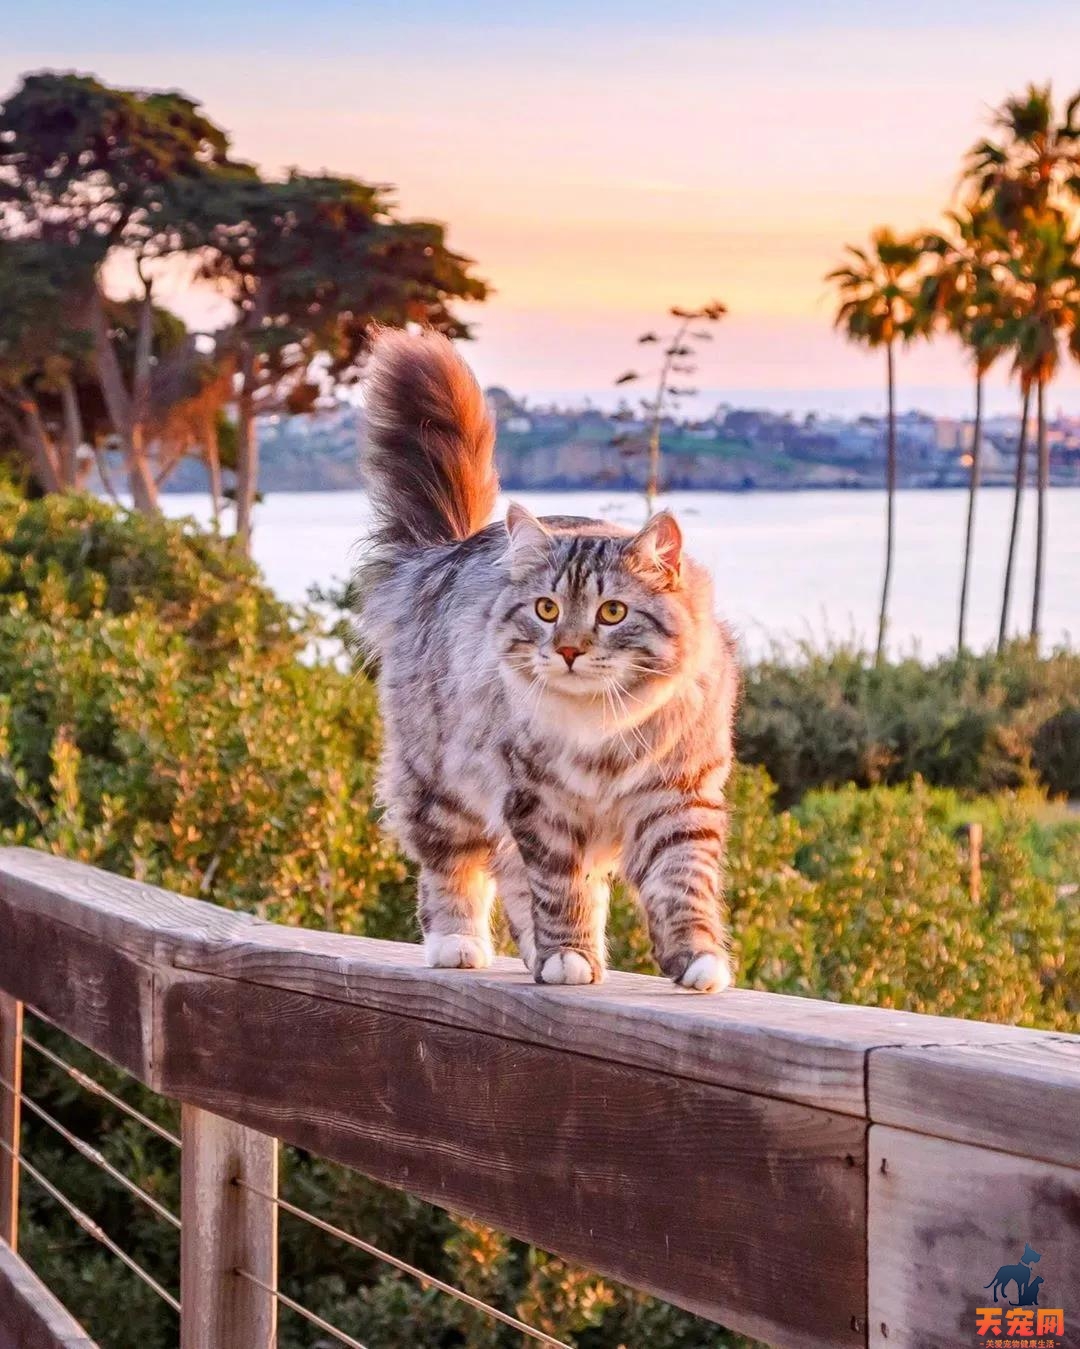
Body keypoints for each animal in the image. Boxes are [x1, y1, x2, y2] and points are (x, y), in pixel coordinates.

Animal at [358, 327, 738, 992]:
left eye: (611, 612)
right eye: (546, 608)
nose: (567, 650)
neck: (607, 730)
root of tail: (445, 553)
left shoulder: (678, 798)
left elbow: (681, 887)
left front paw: (698, 959)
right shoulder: (540, 803)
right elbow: (561, 889)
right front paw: (569, 956)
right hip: (442, 786)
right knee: (453, 870)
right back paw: (461, 944)